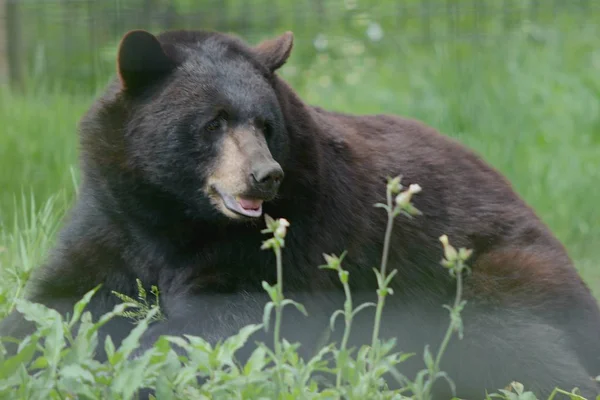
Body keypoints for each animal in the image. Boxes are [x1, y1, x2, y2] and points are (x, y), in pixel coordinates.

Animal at [1, 27, 600, 396]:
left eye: (265, 124)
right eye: (214, 121)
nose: (266, 175)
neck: (174, 217)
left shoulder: (290, 235)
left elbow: (228, 319)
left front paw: (127, 355)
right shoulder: (110, 217)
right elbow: (54, 297)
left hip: (494, 277)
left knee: (510, 343)